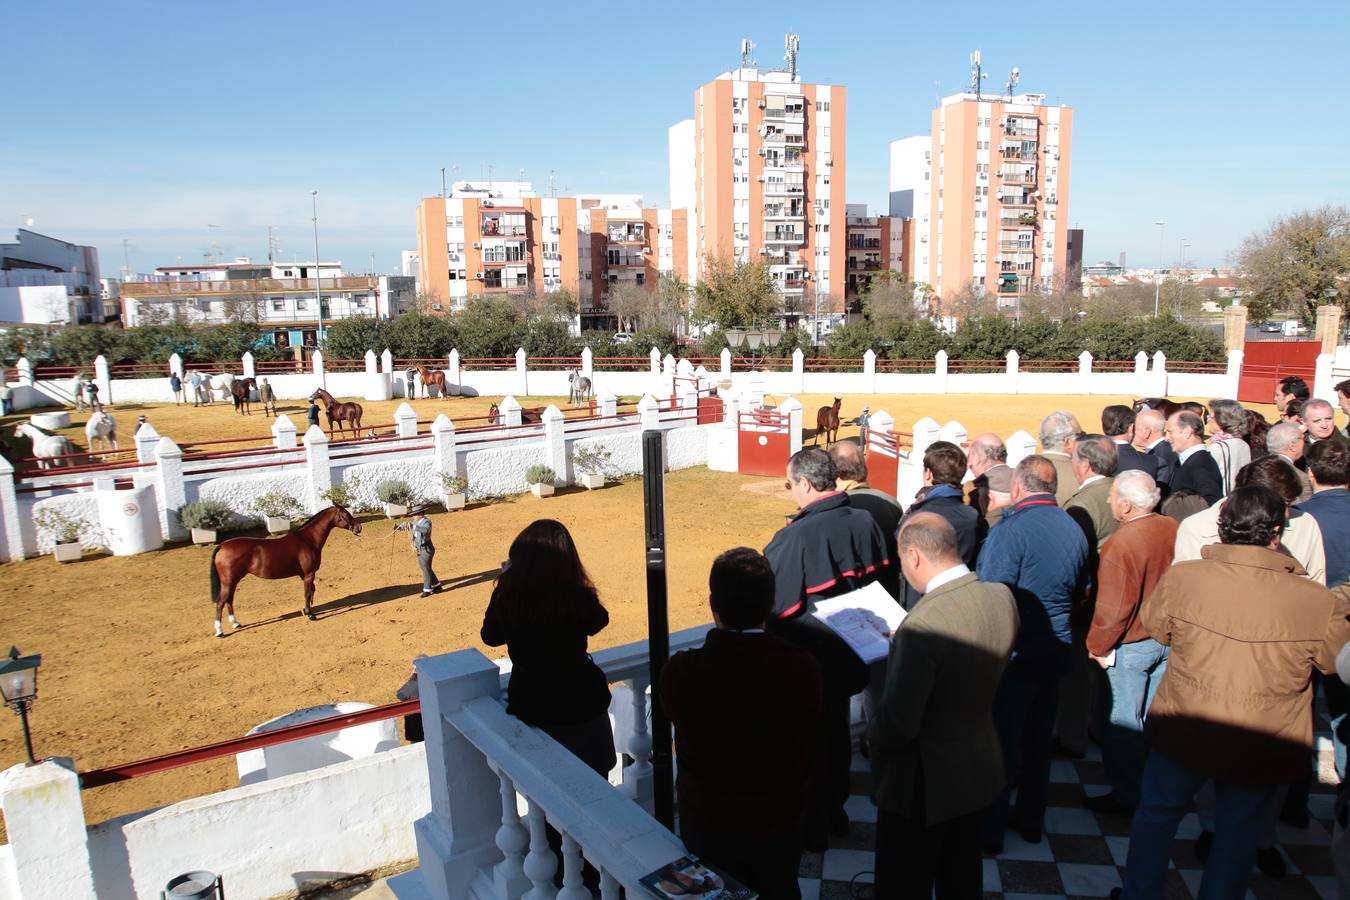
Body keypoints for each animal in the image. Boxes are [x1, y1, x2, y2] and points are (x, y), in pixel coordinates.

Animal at [207, 504, 361, 636]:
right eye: (346, 514)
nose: (359, 528)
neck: (307, 540)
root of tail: (223, 545)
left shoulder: (304, 575)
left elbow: (310, 592)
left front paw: (306, 611)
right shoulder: (308, 574)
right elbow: (307, 594)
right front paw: (310, 615)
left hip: (233, 581)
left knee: (229, 600)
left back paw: (236, 623)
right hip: (228, 582)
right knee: (221, 602)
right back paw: (219, 631)